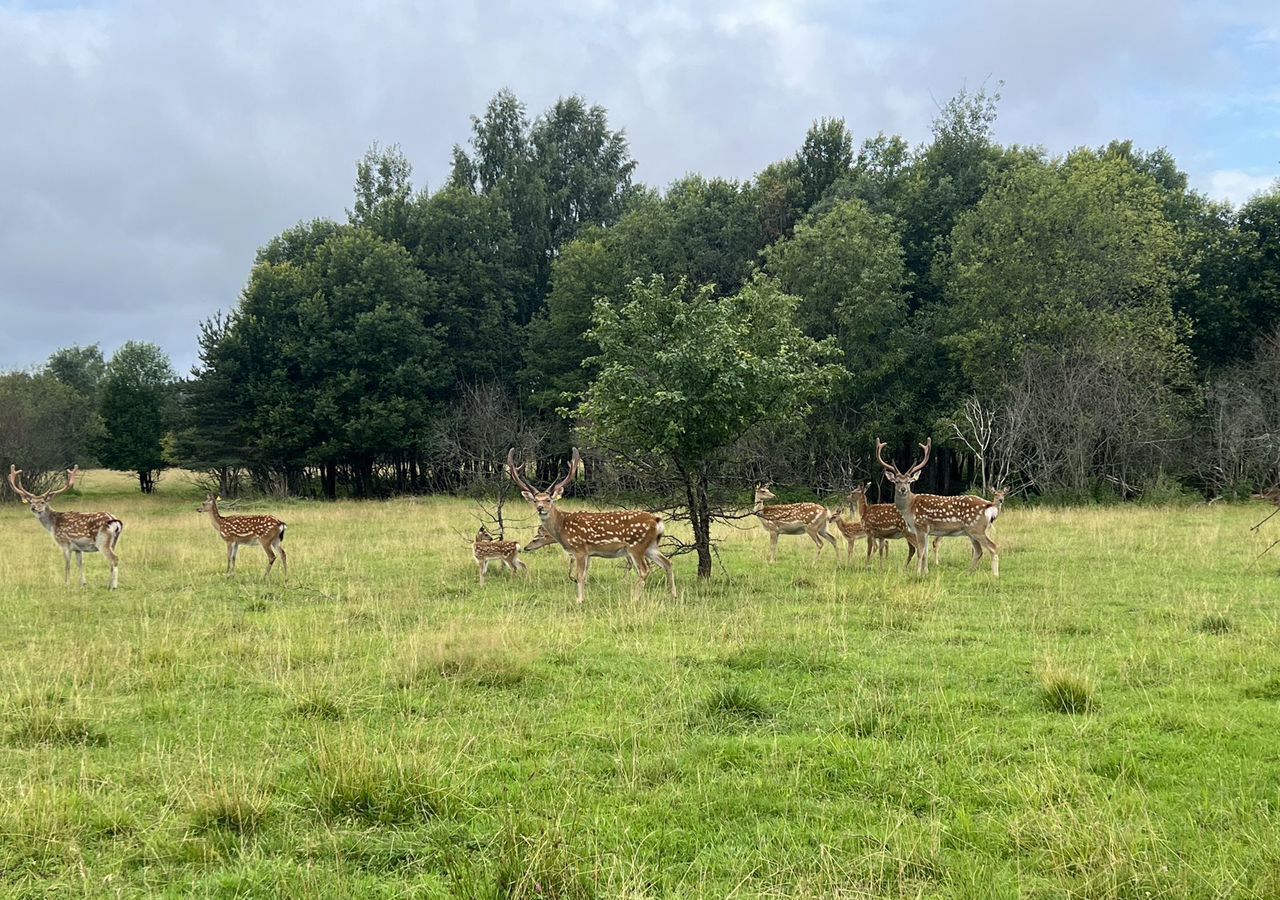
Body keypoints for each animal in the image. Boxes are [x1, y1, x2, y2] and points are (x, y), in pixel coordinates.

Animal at [504, 445, 675, 604]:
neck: (562, 526)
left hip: (636, 546)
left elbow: (579, 575)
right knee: (667, 563)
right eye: (535, 500)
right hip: (651, 546)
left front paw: (579, 600)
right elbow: (585, 575)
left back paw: (634, 599)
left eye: (549, 500)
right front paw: (583, 598)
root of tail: (657, 521)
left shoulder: (580, 549)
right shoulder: (589, 553)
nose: (540, 508)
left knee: (645, 570)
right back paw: (672, 595)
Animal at [880, 442, 998, 581]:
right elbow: (925, 552)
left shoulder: (921, 527)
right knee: (979, 551)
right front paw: (926, 572)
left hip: (977, 529)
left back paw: (995, 576)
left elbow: (920, 552)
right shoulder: (926, 531)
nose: (903, 489)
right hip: (972, 531)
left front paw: (917, 573)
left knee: (993, 547)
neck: (910, 508)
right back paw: (968, 573)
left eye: (909, 482)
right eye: (897, 481)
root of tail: (989, 505)